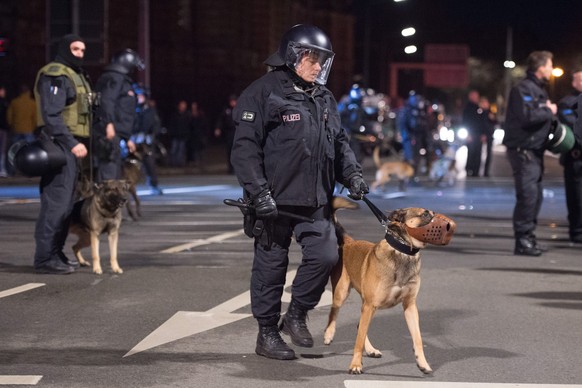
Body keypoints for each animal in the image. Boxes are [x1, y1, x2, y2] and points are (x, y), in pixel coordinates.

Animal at [326, 199, 458, 374]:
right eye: (424, 214)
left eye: (433, 213)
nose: (449, 226)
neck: (403, 253)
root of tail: (350, 242)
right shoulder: (370, 305)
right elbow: (358, 342)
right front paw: (355, 364)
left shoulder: (410, 306)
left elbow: (418, 339)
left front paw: (422, 363)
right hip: (343, 293)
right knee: (334, 312)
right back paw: (329, 334)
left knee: (359, 326)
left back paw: (371, 350)